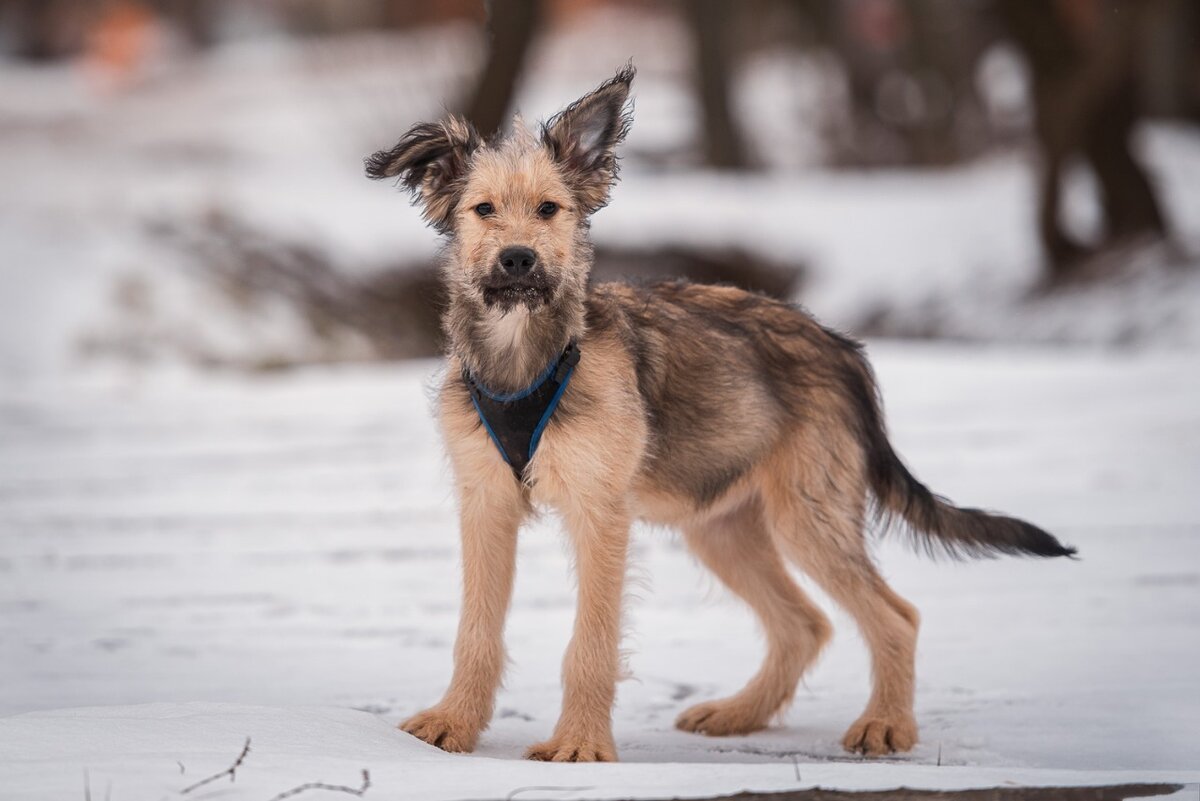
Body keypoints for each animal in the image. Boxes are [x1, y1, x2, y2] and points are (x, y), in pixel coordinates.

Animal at [364, 67, 1080, 762]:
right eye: (483, 210)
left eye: (549, 209)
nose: (518, 258)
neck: (523, 356)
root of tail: (839, 346)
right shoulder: (486, 503)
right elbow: (475, 630)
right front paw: (454, 723)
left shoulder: (601, 513)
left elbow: (591, 641)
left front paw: (579, 745)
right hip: (722, 524)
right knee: (805, 624)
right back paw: (741, 714)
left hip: (805, 514)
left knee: (894, 615)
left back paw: (885, 726)